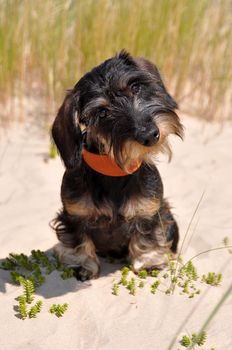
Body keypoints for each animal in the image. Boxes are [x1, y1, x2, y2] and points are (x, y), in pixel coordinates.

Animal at [50, 50, 183, 280]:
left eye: (135, 87)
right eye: (102, 113)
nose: (150, 135)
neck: (114, 172)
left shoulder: (150, 213)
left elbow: (147, 238)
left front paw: (148, 262)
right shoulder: (74, 217)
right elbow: (79, 242)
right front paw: (83, 265)